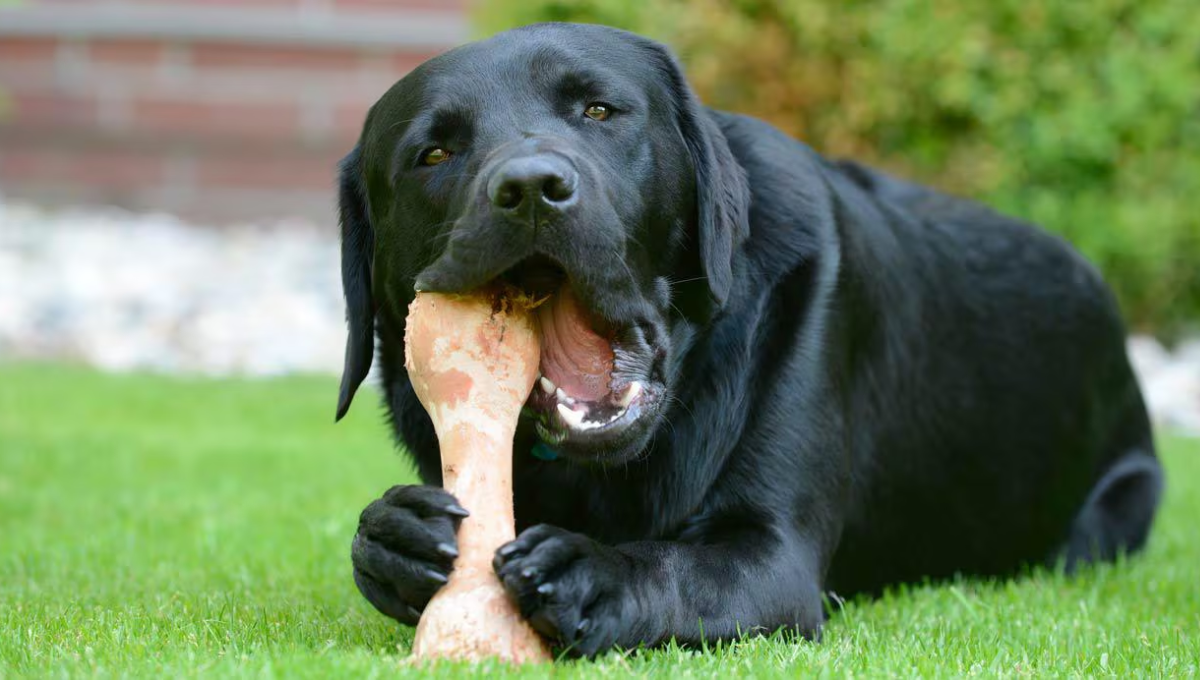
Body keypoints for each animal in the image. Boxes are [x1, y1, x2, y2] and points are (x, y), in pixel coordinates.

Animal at [336, 23, 1161, 657]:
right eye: (434, 153)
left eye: (599, 110)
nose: (531, 188)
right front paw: (396, 536)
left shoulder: (773, 557)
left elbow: (672, 566)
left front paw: (591, 571)